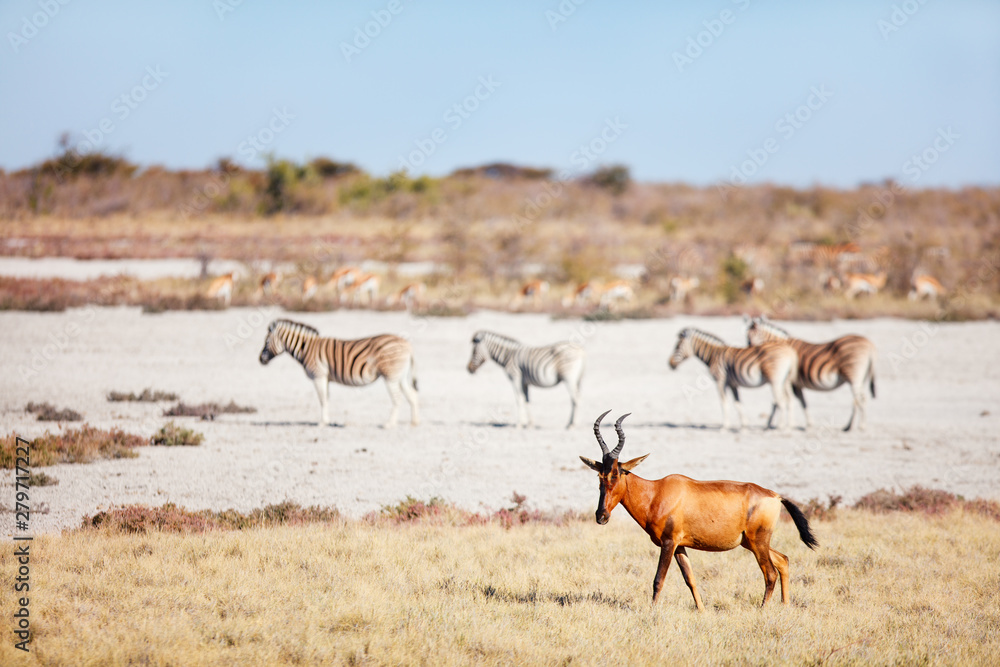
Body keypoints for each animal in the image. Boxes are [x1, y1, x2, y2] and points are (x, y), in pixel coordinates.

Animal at [258, 320, 418, 428]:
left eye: (266, 342)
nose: (260, 360)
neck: (307, 349)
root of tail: (408, 344)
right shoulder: (326, 378)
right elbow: (327, 399)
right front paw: (327, 421)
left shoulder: (319, 375)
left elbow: (322, 400)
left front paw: (322, 422)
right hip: (401, 376)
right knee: (412, 395)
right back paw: (415, 422)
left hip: (391, 376)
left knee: (398, 398)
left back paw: (389, 424)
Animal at [584, 410, 816, 608]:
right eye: (600, 475)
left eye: (616, 474)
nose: (601, 516)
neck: (656, 492)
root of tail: (775, 496)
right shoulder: (680, 546)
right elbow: (690, 579)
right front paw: (702, 610)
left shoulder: (668, 543)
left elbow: (658, 579)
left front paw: (652, 611)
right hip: (752, 542)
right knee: (783, 560)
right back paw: (785, 605)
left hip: (758, 542)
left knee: (770, 573)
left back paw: (763, 609)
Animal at [668, 328, 800, 434]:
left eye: (677, 346)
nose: (670, 364)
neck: (713, 355)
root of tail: (789, 351)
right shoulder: (733, 384)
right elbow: (738, 404)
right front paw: (744, 427)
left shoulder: (721, 381)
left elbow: (724, 403)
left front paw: (724, 428)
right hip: (785, 381)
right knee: (789, 400)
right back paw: (789, 427)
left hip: (775, 381)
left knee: (781, 402)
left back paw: (779, 428)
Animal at [744, 318, 876, 434]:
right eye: (746, 335)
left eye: (757, 333)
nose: (750, 347)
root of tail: (869, 344)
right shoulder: (796, 384)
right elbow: (802, 402)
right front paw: (809, 424)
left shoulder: (788, 381)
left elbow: (779, 402)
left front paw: (770, 425)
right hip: (860, 379)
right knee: (858, 400)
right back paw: (850, 426)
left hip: (854, 377)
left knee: (859, 400)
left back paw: (858, 426)